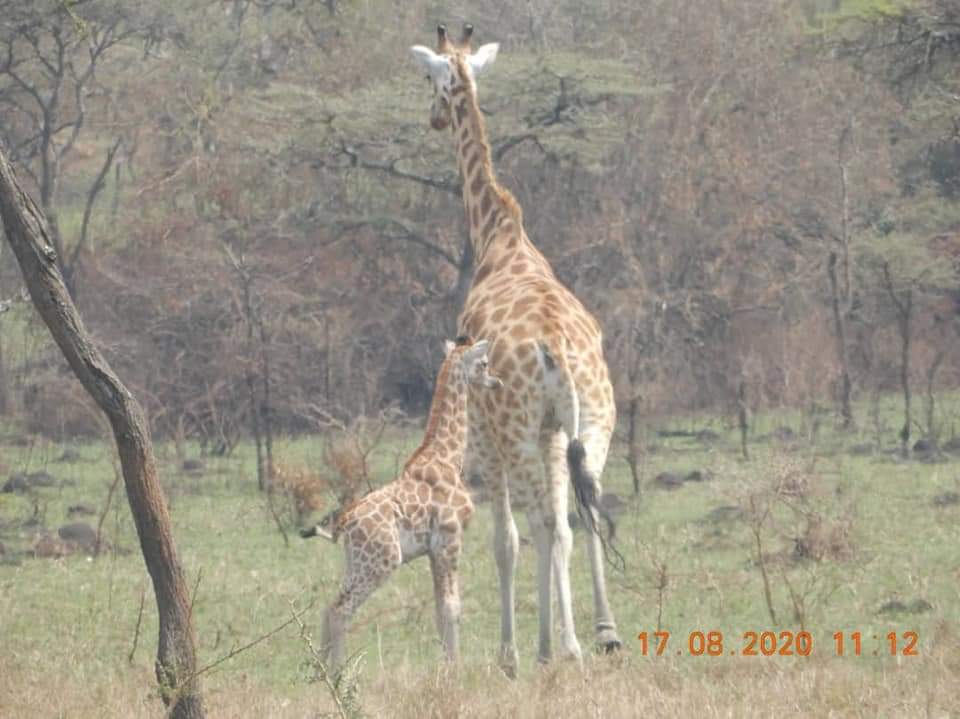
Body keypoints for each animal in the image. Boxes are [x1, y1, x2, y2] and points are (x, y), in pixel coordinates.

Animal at [300, 337, 502, 670]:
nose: (496, 382)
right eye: (484, 363)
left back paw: (320, 671)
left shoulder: (433, 550)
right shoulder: (450, 540)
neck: (448, 457)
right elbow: (452, 606)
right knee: (342, 610)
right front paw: (453, 668)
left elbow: (440, 608)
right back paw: (339, 672)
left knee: (330, 605)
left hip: (356, 561)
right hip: (382, 560)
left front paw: (447, 665)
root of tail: (345, 523)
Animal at [410, 25, 623, 676]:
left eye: (428, 77)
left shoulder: (485, 439)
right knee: (585, 510)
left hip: (520, 433)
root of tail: (557, 348)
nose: (432, 119)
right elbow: (564, 525)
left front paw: (512, 651)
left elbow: (506, 540)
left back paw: (560, 647)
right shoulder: (557, 432)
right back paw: (603, 634)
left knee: (544, 522)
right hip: (593, 424)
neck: (499, 239)